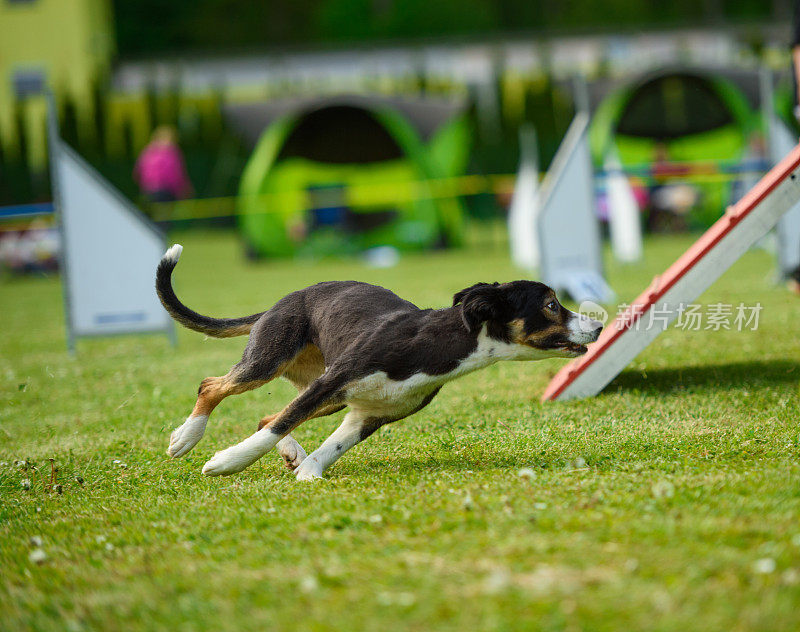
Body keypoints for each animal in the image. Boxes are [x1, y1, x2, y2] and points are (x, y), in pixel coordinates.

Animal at [156, 243, 604, 478]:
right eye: (551, 305)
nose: (599, 327)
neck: (432, 344)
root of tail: (277, 304)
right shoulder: (336, 382)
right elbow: (276, 426)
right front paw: (226, 462)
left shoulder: (369, 413)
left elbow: (331, 446)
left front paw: (309, 473)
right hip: (272, 359)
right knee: (214, 387)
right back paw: (186, 438)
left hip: (324, 394)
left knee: (268, 415)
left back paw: (292, 455)